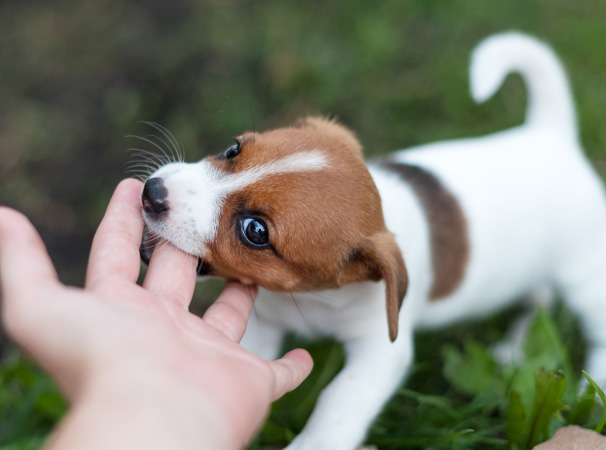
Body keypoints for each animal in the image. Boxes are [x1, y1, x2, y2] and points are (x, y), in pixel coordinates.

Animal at [140, 32, 606, 450]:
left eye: (255, 231)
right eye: (233, 149)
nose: (152, 192)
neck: (312, 298)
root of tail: (552, 137)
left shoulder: (381, 353)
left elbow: (338, 401)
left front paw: (315, 444)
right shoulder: (264, 321)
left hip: (584, 277)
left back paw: (591, 386)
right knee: (538, 300)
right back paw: (513, 348)